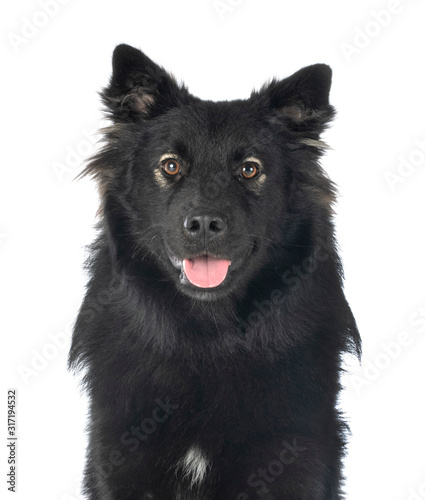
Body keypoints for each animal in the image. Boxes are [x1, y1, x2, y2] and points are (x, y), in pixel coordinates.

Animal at [68, 45, 358, 498]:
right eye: (171, 166)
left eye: (249, 169)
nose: (204, 223)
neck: (208, 338)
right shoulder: (118, 455)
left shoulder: (294, 458)